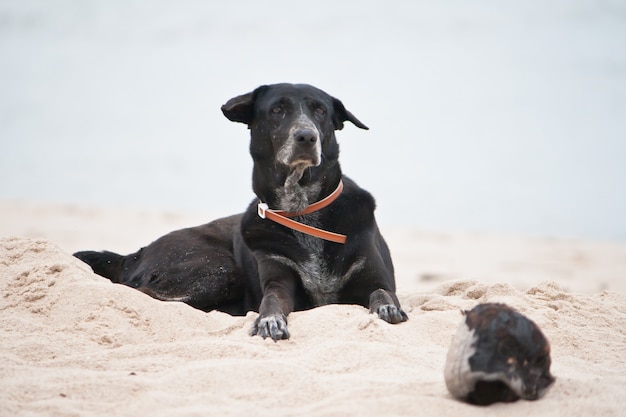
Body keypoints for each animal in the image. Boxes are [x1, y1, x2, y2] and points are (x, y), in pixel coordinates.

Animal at [73, 83, 408, 338]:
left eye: (321, 111)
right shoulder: (278, 283)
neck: (302, 211)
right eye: (277, 110)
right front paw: (270, 321)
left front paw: (387, 308)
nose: (306, 136)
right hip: (220, 270)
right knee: (142, 295)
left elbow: (382, 294)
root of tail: (134, 254)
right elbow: (271, 303)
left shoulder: (375, 279)